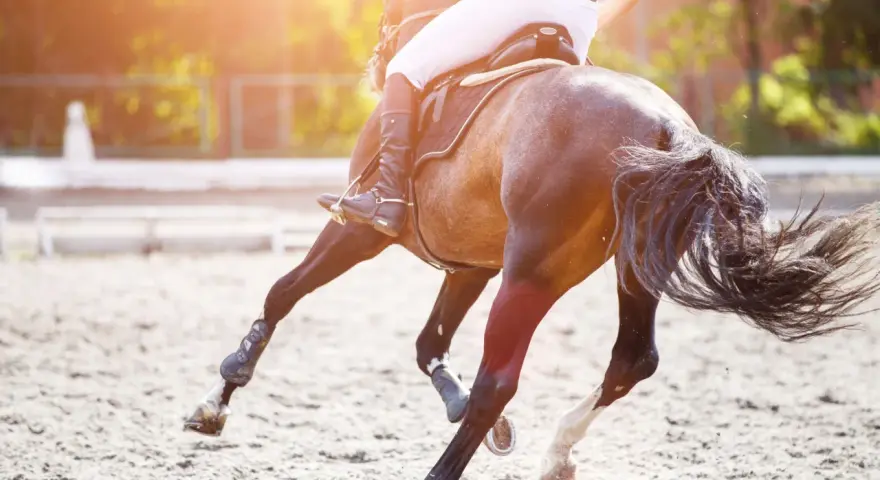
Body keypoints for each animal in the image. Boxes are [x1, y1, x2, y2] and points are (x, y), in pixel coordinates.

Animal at [183, 1, 880, 478]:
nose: (375, 58)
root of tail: (669, 128)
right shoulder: (470, 262)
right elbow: (428, 343)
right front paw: (463, 405)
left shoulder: (360, 230)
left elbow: (282, 292)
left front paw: (217, 399)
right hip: (630, 266)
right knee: (632, 359)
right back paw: (556, 451)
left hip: (533, 272)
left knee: (504, 377)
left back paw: (448, 466)